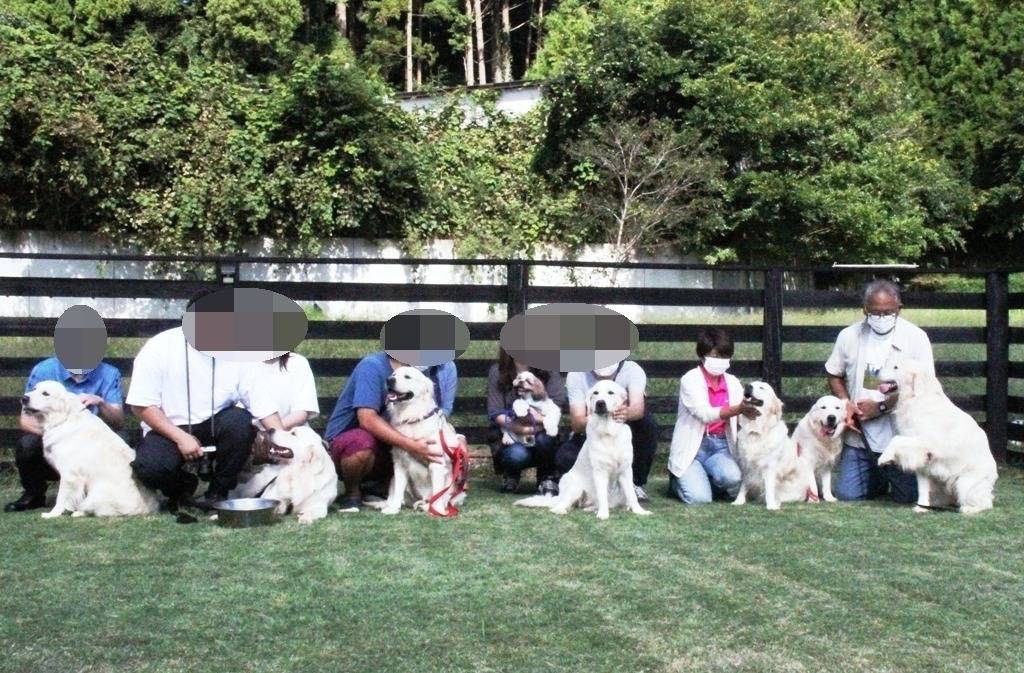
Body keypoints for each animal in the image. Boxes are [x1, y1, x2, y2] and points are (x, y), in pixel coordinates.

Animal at [22, 380, 158, 518]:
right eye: (34, 388)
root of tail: (146, 509)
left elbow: (61, 497)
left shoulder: (69, 473)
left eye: (45, 393)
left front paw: (53, 514)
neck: (64, 419)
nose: (24, 398)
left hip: (97, 493)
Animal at [515, 380, 649, 520]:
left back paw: (593, 509)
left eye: (611, 392)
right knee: (559, 506)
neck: (608, 432)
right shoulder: (599, 472)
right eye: (595, 393)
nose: (600, 403)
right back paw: (562, 510)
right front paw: (603, 514)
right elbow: (602, 495)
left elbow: (632, 496)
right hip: (575, 487)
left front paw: (639, 511)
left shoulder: (625, 471)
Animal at [732, 381, 813, 510]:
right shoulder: (746, 464)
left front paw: (771, 505)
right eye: (752, 384)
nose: (748, 386)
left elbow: (769, 487)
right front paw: (738, 501)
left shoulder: (770, 465)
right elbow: (743, 485)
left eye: (761, 387)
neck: (756, 432)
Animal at [876, 359, 998, 514]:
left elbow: (896, 439)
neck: (916, 398)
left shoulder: (926, 442)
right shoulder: (923, 459)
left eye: (896, 367)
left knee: (986, 503)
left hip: (964, 483)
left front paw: (884, 458)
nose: (876, 371)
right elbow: (922, 487)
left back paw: (967, 509)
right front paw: (921, 507)